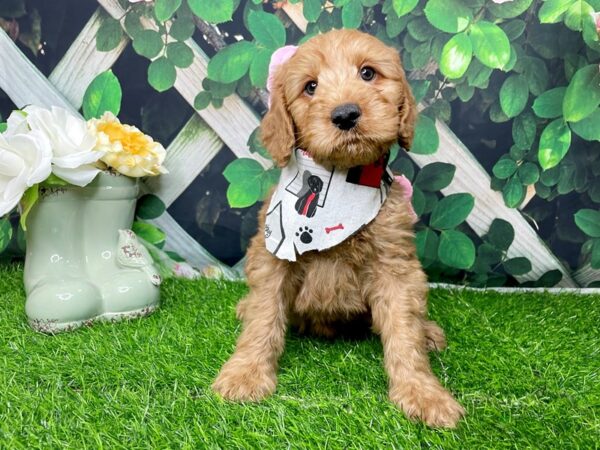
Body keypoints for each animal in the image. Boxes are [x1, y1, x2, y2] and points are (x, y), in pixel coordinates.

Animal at [213, 28, 466, 428]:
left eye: (368, 73)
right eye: (310, 86)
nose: (346, 114)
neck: (342, 184)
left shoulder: (394, 266)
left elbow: (403, 331)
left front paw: (423, 393)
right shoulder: (273, 257)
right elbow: (264, 318)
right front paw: (246, 373)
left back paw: (428, 332)